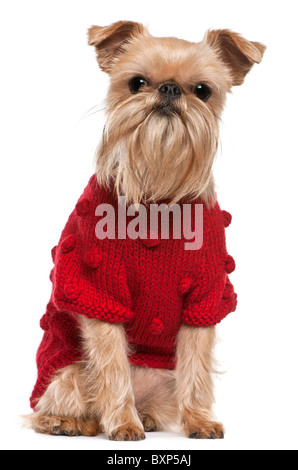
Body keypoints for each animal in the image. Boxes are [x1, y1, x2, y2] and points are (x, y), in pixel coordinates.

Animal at [26, 22, 266, 440]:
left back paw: (148, 416)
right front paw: (123, 423)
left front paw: (199, 420)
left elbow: (197, 367)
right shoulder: (101, 294)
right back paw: (68, 421)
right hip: (66, 372)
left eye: (202, 90)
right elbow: (113, 367)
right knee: (54, 403)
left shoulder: (204, 299)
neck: (158, 193)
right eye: (136, 83)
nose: (168, 89)